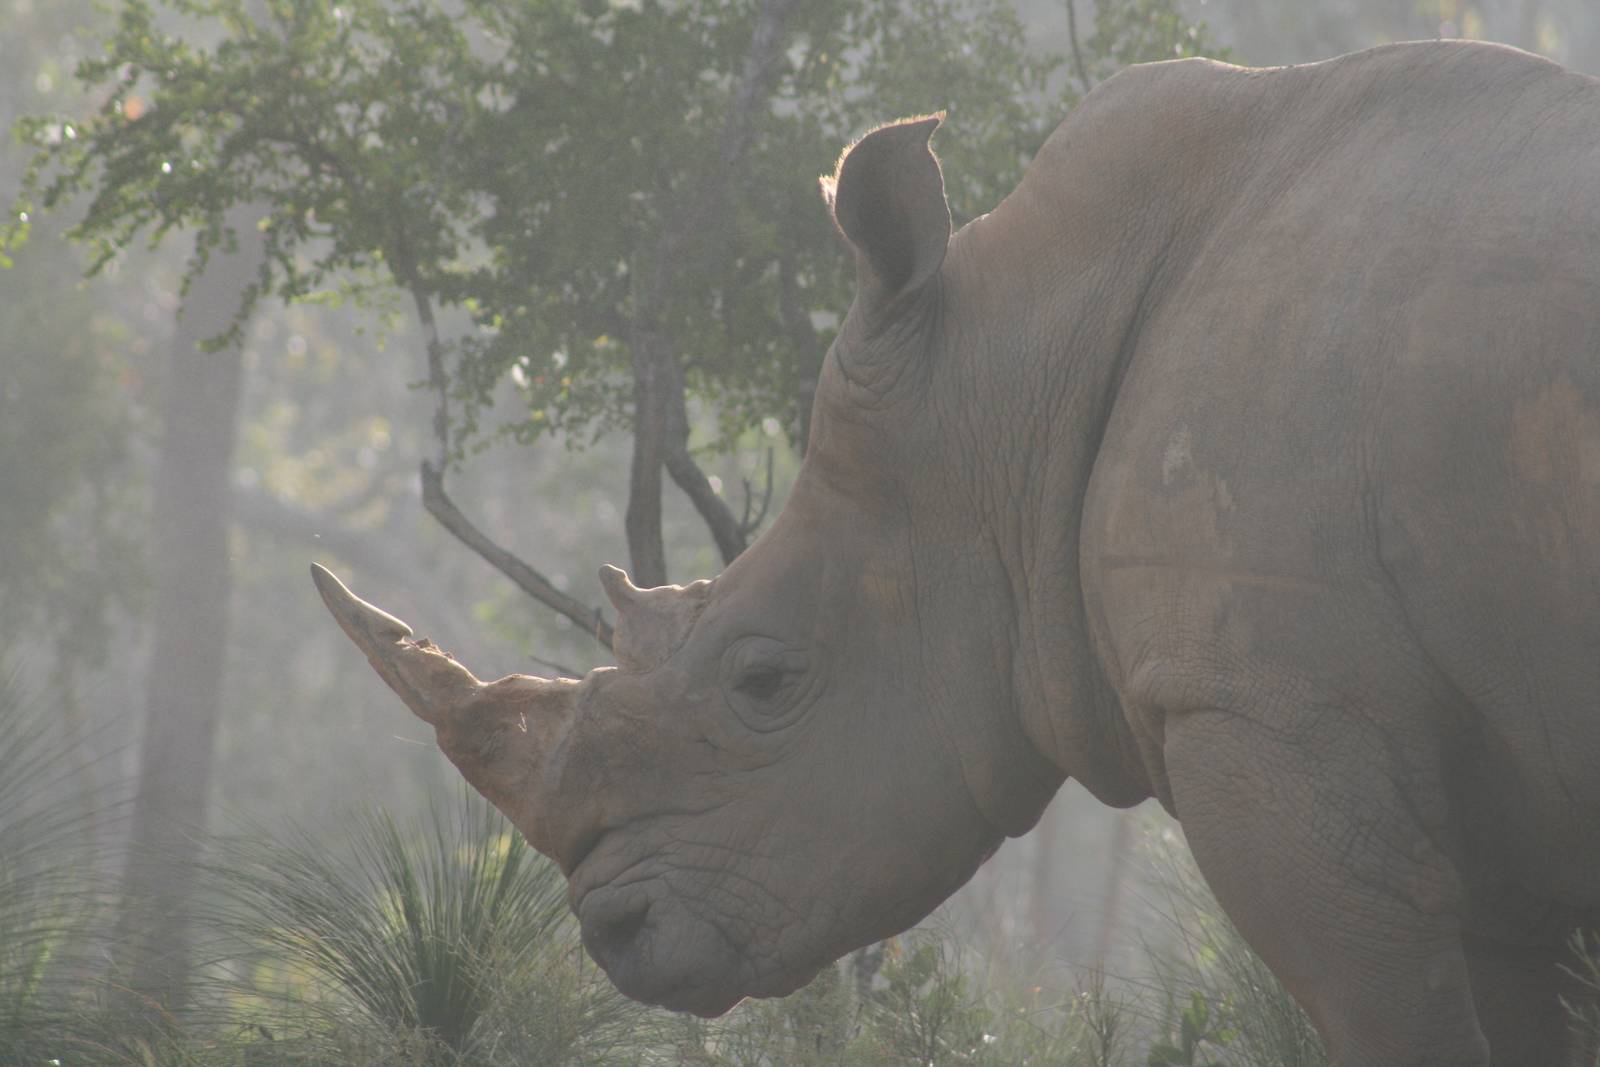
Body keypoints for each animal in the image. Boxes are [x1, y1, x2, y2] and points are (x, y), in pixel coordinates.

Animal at [313, 39, 1600, 1067]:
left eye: (763, 678)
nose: (611, 934)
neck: (1012, 370)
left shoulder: (1268, 708)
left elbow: (1397, 1021)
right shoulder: (1485, 787)